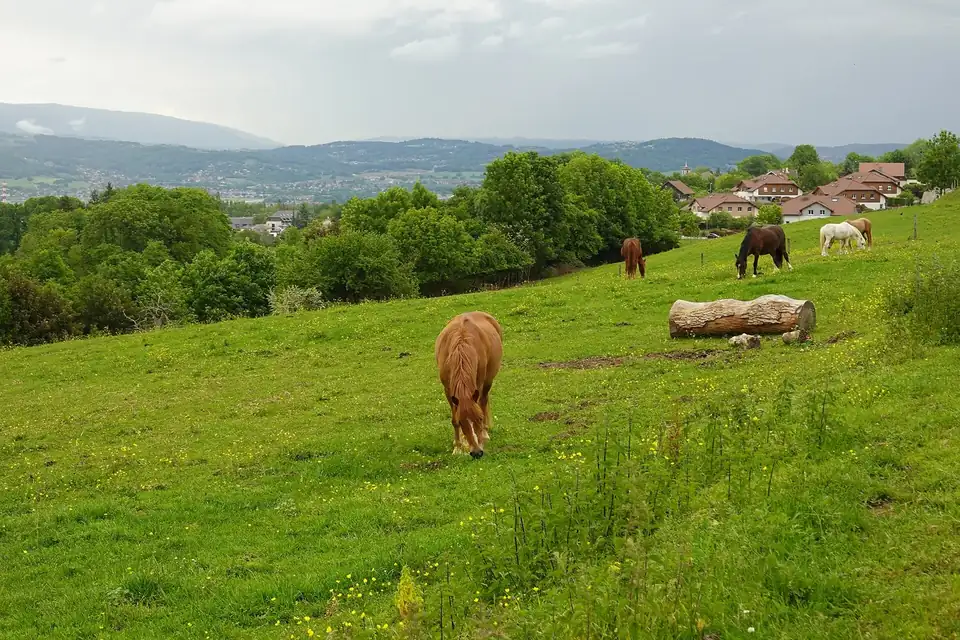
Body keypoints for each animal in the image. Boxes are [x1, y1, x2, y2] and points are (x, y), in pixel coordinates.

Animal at [434, 311, 503, 459]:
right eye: (461, 422)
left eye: (479, 418)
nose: (477, 453)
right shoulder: (448, 390)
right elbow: (454, 418)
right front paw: (458, 447)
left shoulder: (478, 385)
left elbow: (480, 407)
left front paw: (479, 438)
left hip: (487, 382)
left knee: (483, 401)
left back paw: (485, 433)